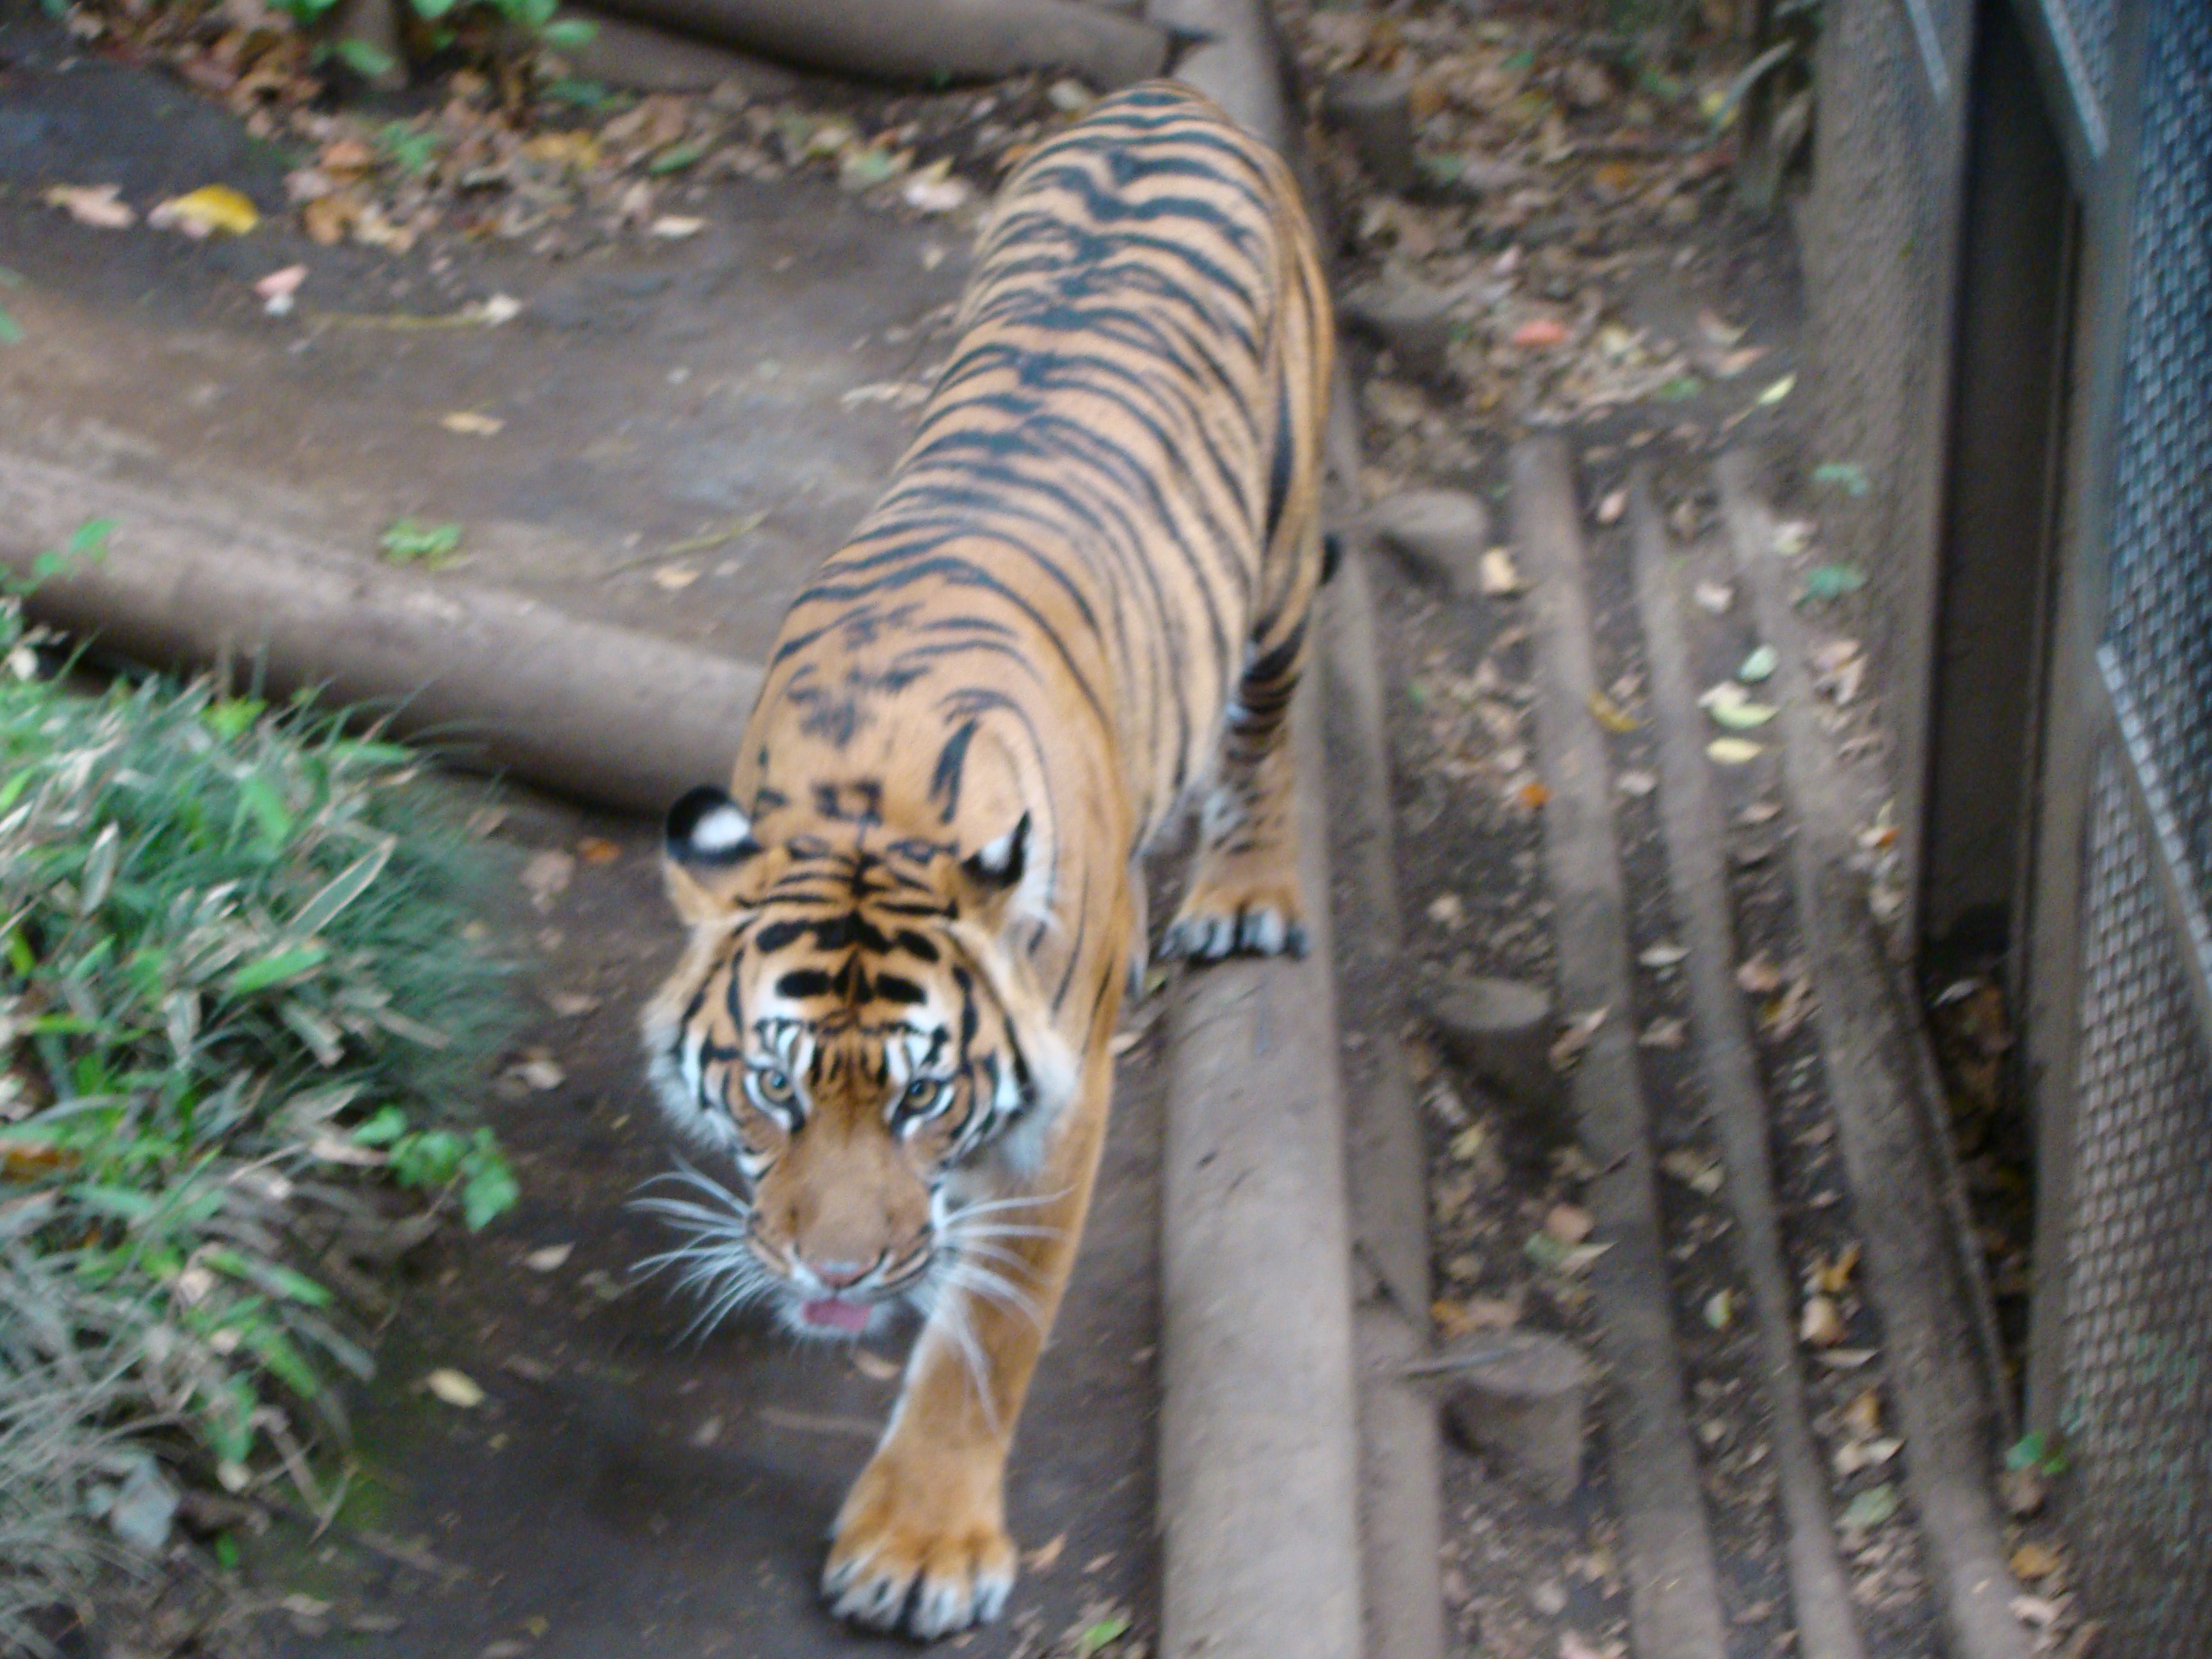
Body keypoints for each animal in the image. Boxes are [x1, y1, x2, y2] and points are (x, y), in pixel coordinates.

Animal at [641, 81, 1327, 1655]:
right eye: (773, 1090)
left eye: (922, 1099)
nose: (834, 1277)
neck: (866, 804)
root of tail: (1175, 96)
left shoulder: (1064, 1106)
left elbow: (993, 1323)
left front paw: (920, 1547)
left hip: (1279, 565)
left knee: (1269, 731)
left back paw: (1248, 896)